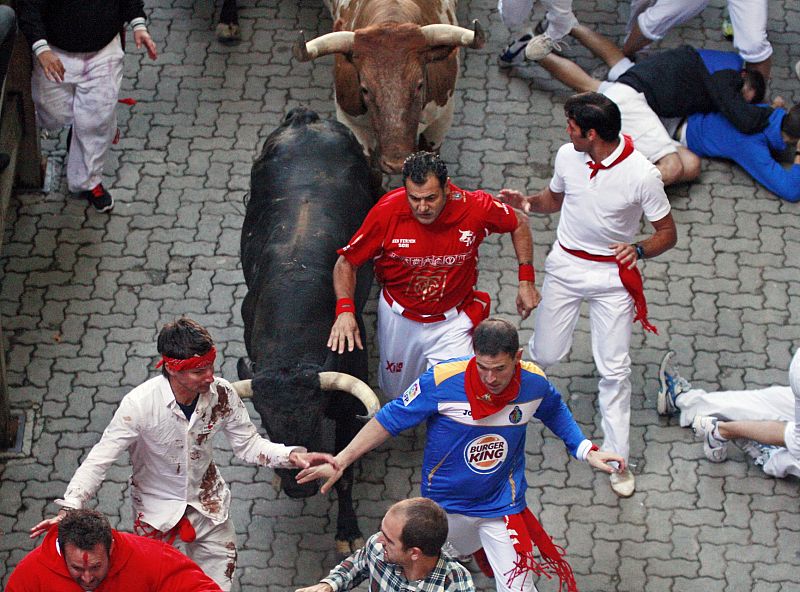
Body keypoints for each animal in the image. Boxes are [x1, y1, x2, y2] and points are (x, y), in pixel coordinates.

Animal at [238, 107, 378, 552]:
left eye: (315, 414)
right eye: (265, 418)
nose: (297, 486)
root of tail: (306, 118)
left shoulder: (348, 410)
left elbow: (343, 472)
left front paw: (347, 530)